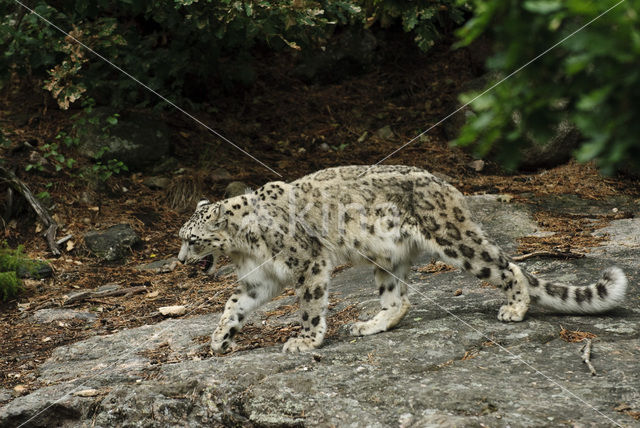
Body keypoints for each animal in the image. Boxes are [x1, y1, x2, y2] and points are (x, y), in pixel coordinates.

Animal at [178, 166, 628, 352]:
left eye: (192, 239)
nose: (180, 261)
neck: (245, 248)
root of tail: (448, 185)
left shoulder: (309, 263)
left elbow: (309, 305)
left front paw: (304, 340)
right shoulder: (260, 280)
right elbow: (233, 303)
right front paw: (220, 338)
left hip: (457, 242)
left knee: (508, 266)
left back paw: (514, 308)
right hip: (387, 260)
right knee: (399, 299)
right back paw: (369, 325)